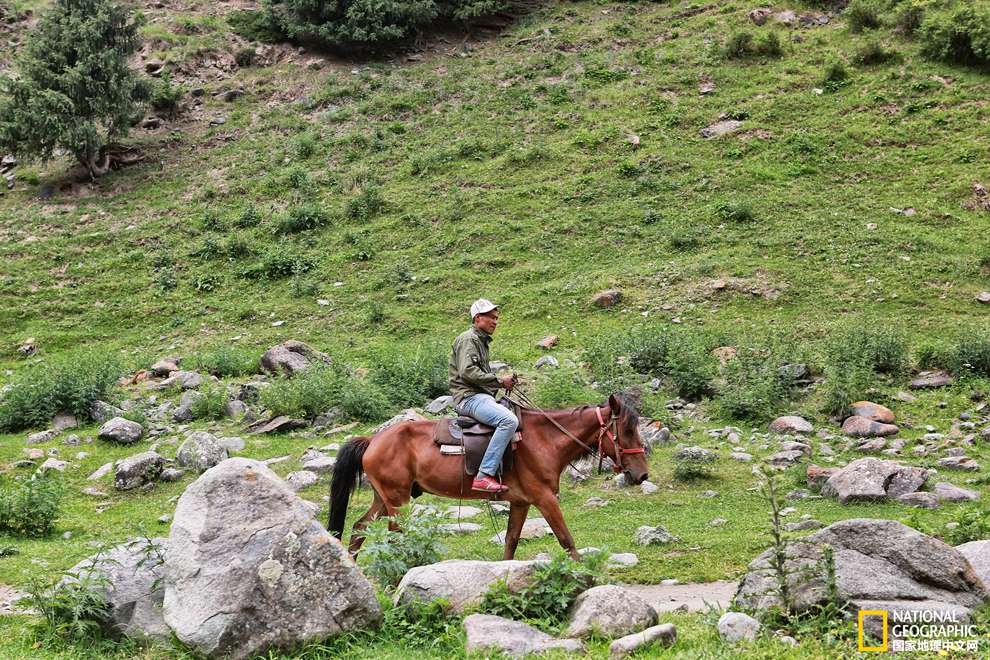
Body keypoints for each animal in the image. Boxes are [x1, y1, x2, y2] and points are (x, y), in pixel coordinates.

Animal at [328, 394, 652, 560]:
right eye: (626, 430)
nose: (642, 474)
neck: (544, 440)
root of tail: (372, 440)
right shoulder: (545, 499)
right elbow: (566, 539)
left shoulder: (521, 502)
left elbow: (511, 542)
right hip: (397, 500)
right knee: (397, 538)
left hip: (384, 498)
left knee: (359, 528)